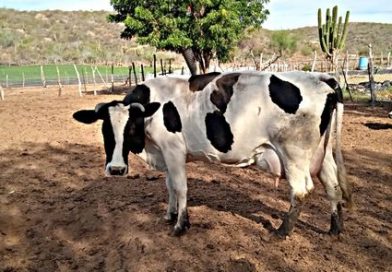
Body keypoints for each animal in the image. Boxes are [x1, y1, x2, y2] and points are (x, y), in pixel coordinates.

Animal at [72, 71, 352, 237]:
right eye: (105, 129)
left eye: (131, 127)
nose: (116, 169)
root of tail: (322, 78)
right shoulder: (164, 153)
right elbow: (169, 185)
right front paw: (169, 214)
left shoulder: (173, 149)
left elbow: (180, 187)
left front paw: (181, 224)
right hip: (322, 153)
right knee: (332, 185)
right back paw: (334, 228)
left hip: (294, 153)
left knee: (302, 191)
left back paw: (282, 231)